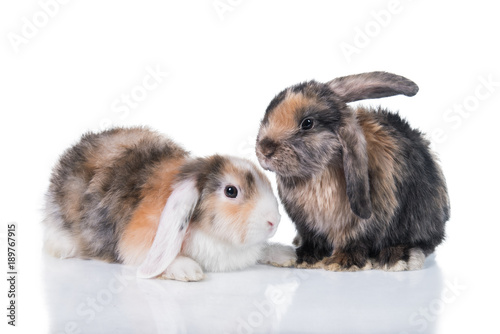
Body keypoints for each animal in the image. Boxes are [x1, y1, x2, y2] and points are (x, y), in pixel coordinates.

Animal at [256, 71, 452, 272]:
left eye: (307, 123)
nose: (264, 150)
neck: (319, 173)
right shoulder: (307, 225)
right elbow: (314, 241)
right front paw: (305, 258)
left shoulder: (363, 223)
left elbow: (354, 242)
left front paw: (342, 262)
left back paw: (396, 258)